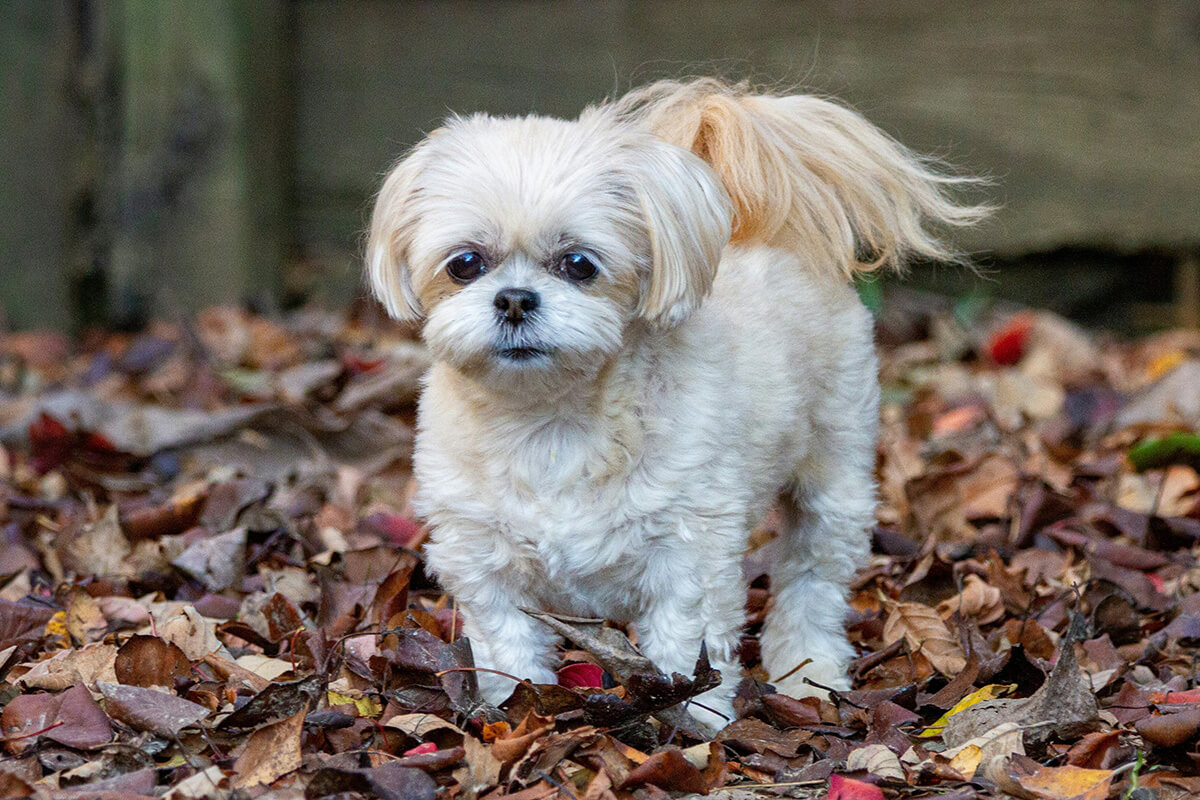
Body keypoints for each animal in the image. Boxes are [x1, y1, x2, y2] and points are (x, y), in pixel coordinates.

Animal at [364, 79, 984, 724]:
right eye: (465, 263)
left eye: (579, 263)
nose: (513, 299)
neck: (553, 423)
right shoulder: (482, 562)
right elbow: (507, 646)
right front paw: (516, 708)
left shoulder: (691, 556)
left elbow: (686, 649)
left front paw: (698, 725)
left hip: (833, 476)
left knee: (811, 582)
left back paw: (808, 674)